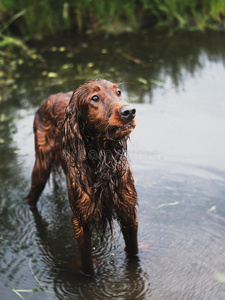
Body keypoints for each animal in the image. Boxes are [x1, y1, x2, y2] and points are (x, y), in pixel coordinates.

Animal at [27, 78, 138, 276]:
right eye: (94, 98)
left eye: (118, 92)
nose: (130, 111)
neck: (103, 161)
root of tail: (50, 97)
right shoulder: (81, 221)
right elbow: (88, 265)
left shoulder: (129, 211)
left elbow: (134, 253)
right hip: (41, 168)